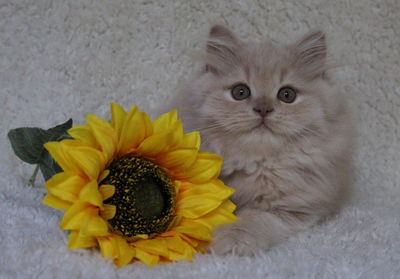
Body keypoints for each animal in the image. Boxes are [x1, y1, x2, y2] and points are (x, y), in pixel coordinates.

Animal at [173, 25, 354, 256]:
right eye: (240, 92)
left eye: (287, 95)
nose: (263, 109)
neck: (255, 162)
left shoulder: (292, 207)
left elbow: (253, 219)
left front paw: (230, 241)